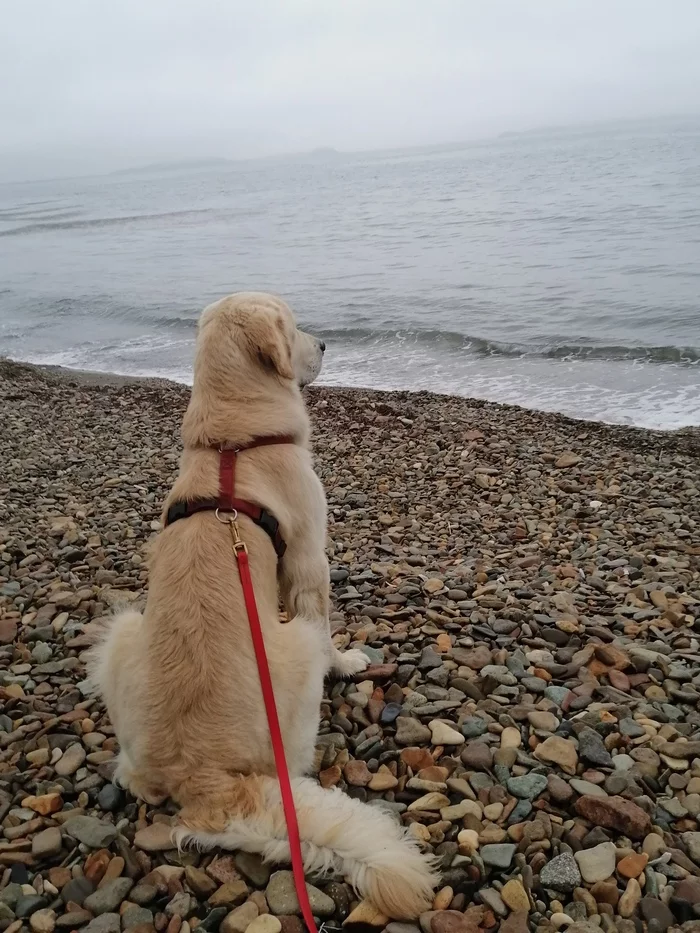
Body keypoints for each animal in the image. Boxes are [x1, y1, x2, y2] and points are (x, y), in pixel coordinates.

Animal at [86, 294, 438, 916]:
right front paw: (347, 662)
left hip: (124, 630)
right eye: (294, 327)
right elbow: (323, 617)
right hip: (291, 656)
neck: (233, 443)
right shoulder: (309, 558)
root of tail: (205, 781)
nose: (325, 345)